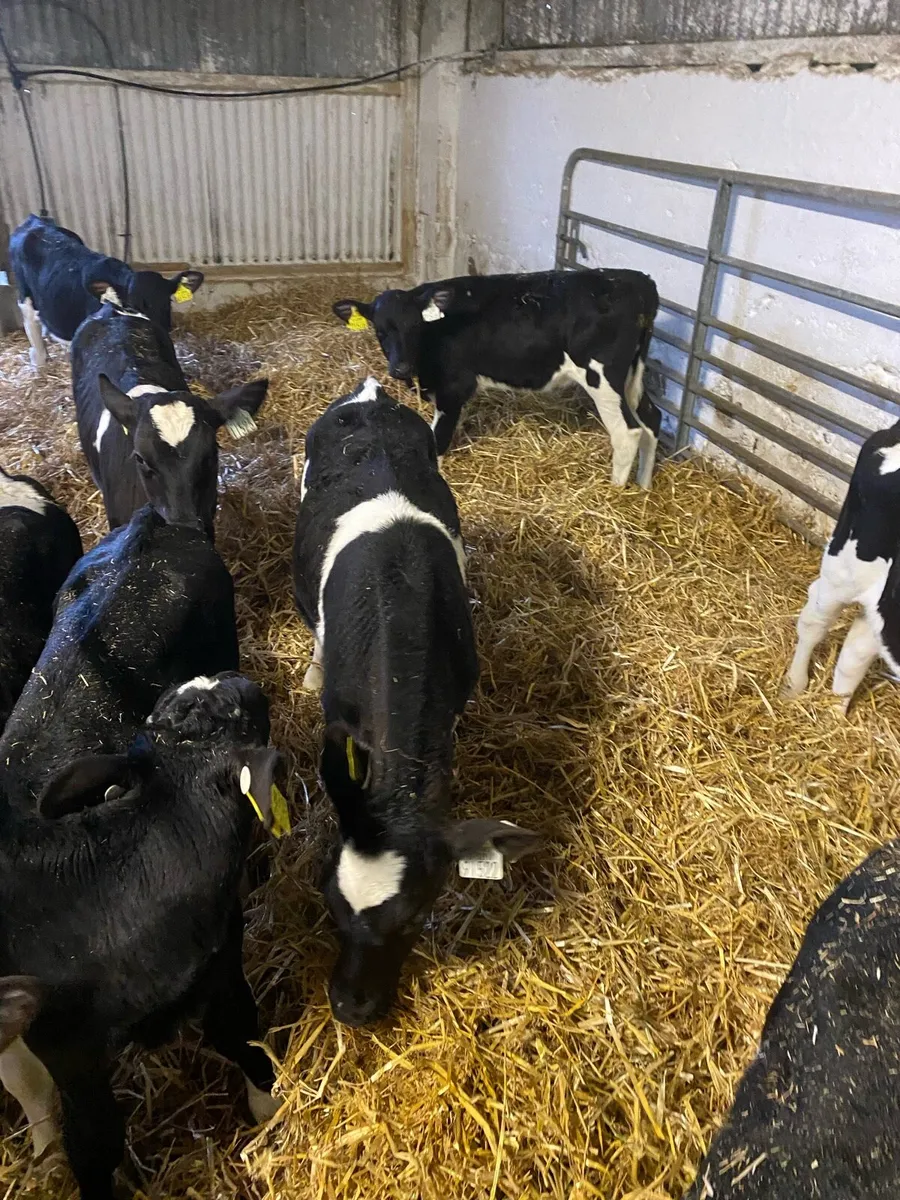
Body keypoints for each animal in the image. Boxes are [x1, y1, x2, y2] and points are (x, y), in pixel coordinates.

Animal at [0, 672, 282, 1200]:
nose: (237, 677)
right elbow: (94, 1142)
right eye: (237, 713)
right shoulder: (67, 1049)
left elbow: (242, 1037)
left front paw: (269, 1111)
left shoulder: (221, 966)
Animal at [8, 213, 203, 369]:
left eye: (167, 301)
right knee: (32, 329)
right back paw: (40, 364)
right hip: (24, 300)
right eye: (130, 306)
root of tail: (35, 221)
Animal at [333, 269, 661, 488]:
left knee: (628, 432)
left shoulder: (453, 387)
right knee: (652, 419)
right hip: (633, 376)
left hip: (602, 378)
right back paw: (643, 489)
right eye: (380, 330)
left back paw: (615, 491)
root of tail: (638, 281)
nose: (399, 368)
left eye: (415, 326)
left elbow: (438, 441)